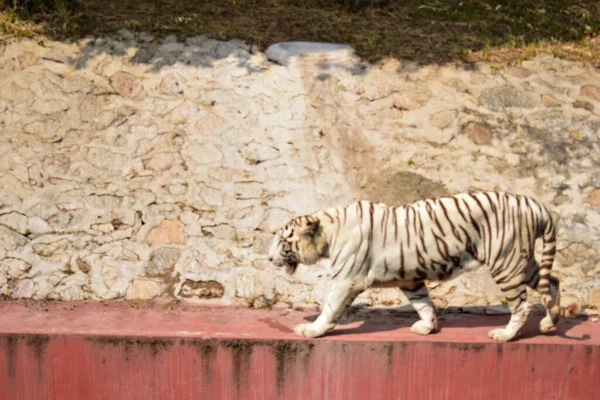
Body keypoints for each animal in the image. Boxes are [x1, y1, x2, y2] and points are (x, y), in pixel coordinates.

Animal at [268, 192, 576, 342]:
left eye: (283, 241)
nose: (269, 259)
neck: (328, 233)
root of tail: (534, 204)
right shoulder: (410, 278)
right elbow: (423, 303)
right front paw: (427, 327)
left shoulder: (346, 280)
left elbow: (331, 307)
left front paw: (312, 330)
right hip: (523, 262)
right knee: (554, 281)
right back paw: (549, 323)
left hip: (506, 261)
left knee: (522, 305)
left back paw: (505, 335)